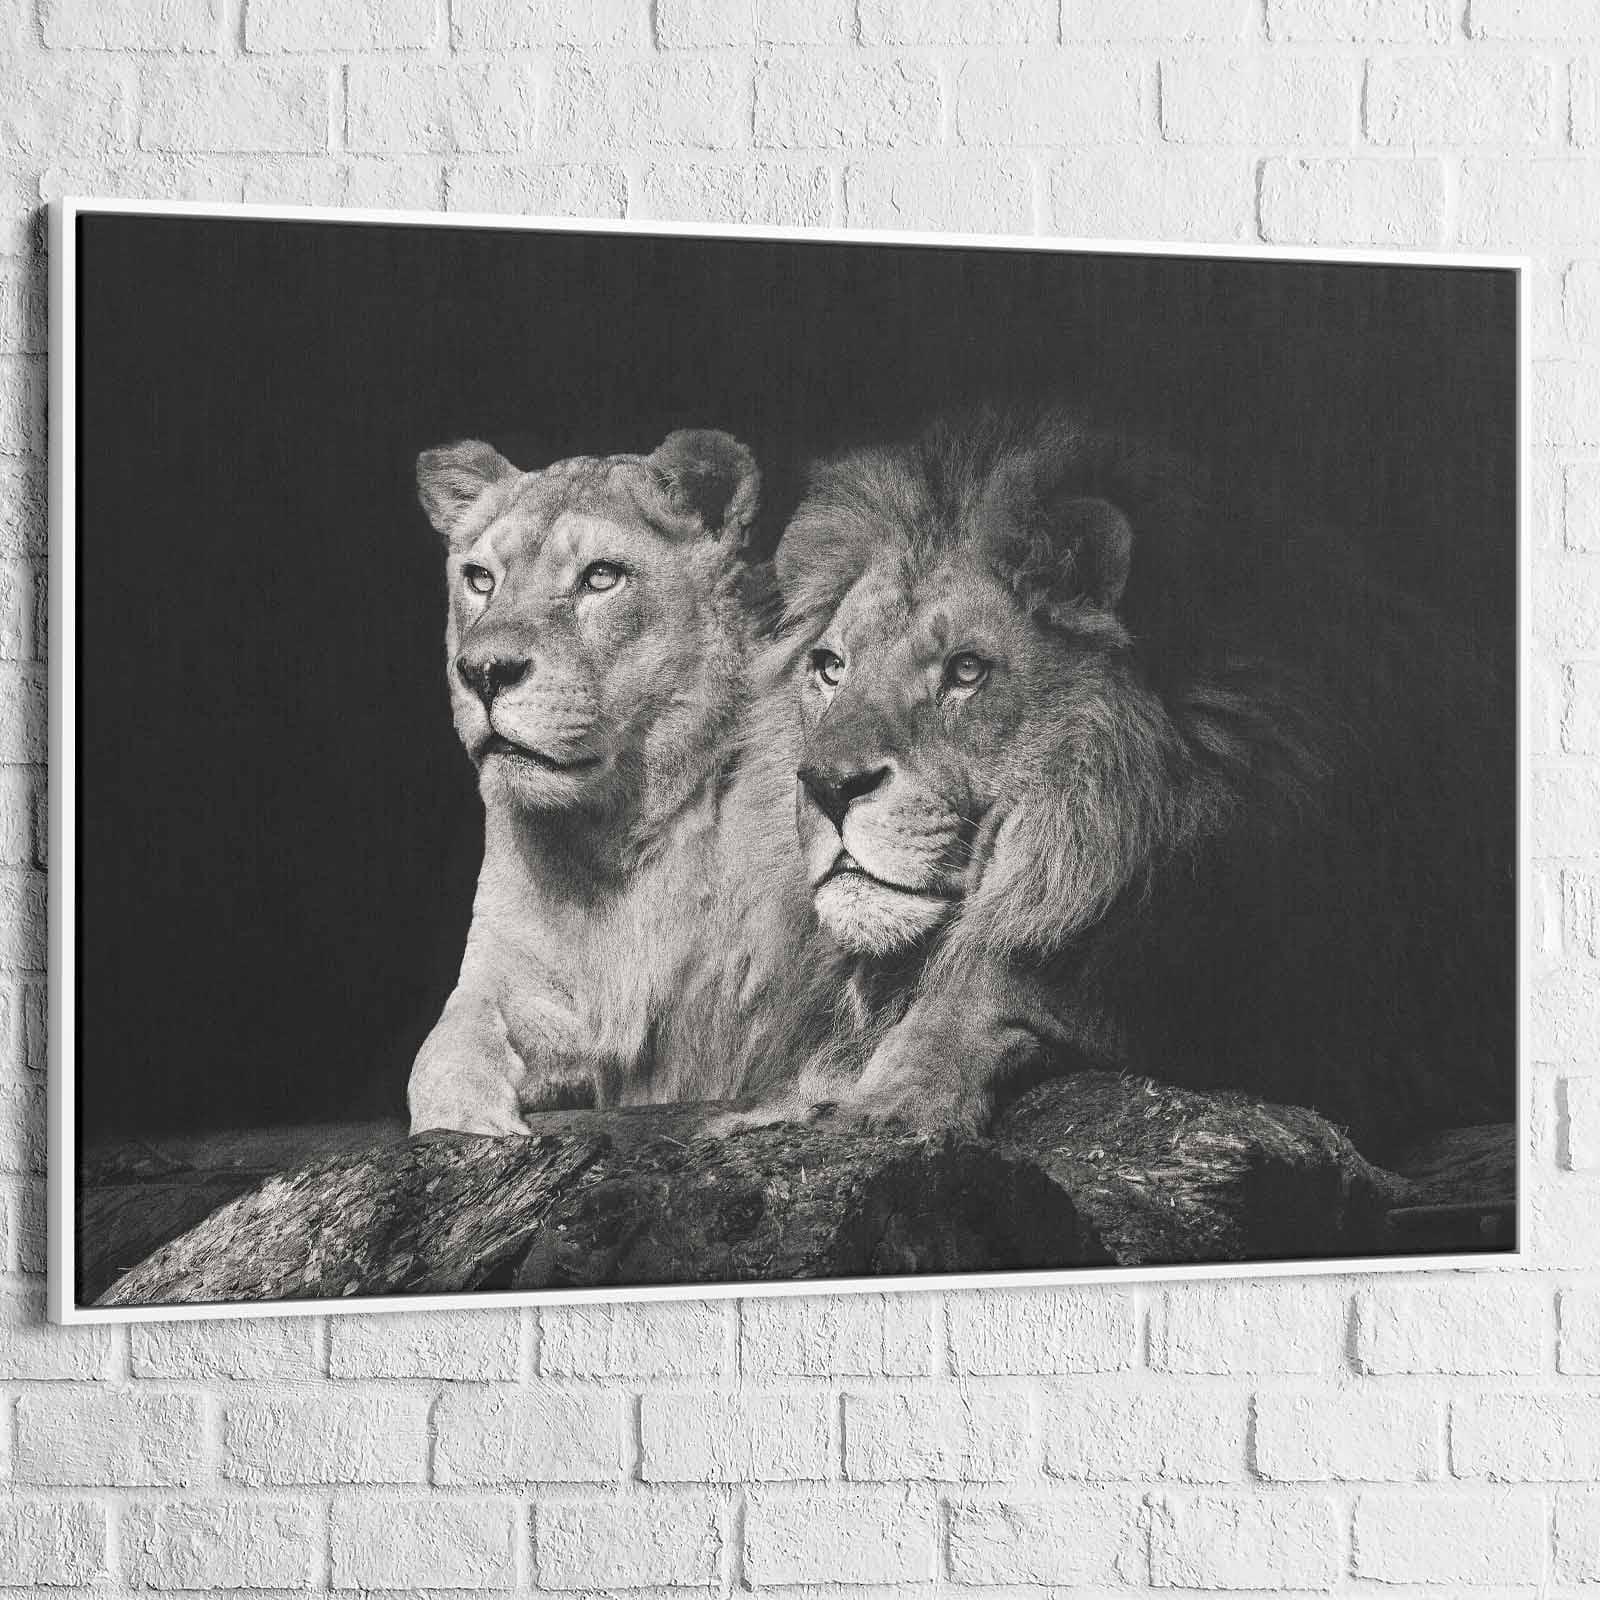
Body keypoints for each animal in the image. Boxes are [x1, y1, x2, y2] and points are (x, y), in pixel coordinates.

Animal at [406, 429, 835, 1136]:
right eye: (480, 578)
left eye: (601, 577)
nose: (484, 671)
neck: (612, 840)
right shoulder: (508, 979)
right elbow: (442, 1046)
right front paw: (469, 1124)